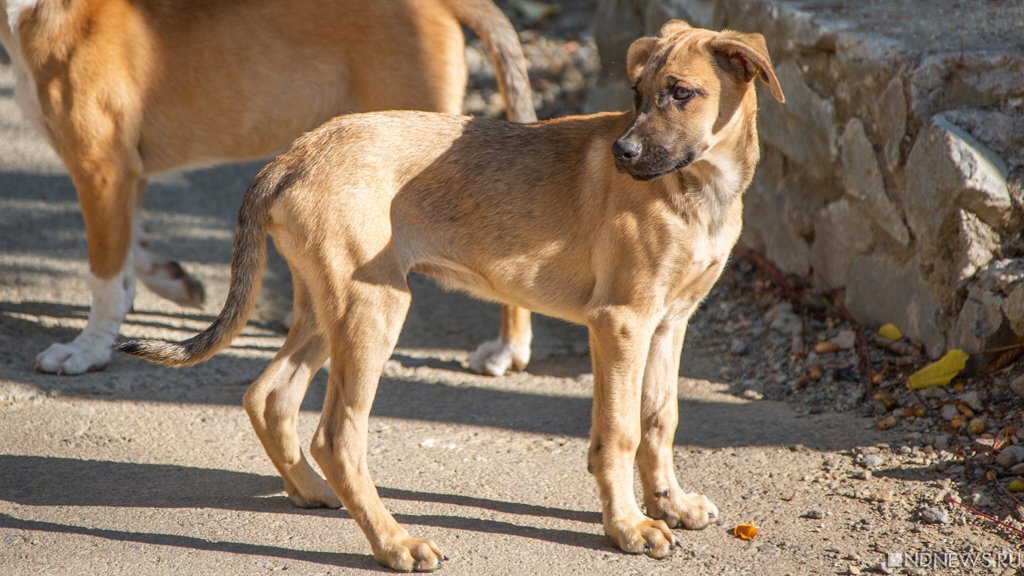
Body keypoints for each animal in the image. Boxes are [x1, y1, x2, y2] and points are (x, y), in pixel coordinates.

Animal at [4, 0, 536, 375]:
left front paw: (86, 351)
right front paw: (173, 280)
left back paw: (508, 349)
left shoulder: (100, 166)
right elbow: (131, 251)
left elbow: (105, 274)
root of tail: (443, 2)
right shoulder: (128, 174)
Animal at [121, 17, 790, 569]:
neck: (698, 189)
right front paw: (627, 527)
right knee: (337, 435)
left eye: (681, 92)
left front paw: (671, 503)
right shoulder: (621, 322)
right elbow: (619, 432)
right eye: (636, 93)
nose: (622, 154)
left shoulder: (670, 322)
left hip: (325, 305)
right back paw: (395, 543)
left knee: (270, 396)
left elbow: (660, 418)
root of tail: (293, 154)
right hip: (374, 307)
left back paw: (312, 492)